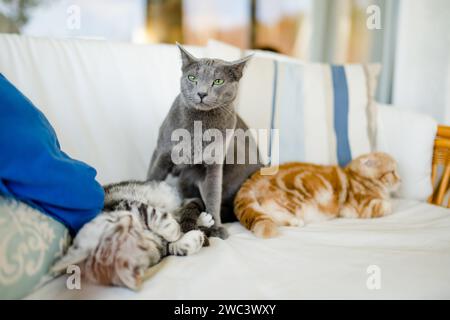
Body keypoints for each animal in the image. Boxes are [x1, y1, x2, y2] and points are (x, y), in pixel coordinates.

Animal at [51, 180, 214, 290]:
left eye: (114, 223)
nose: (129, 220)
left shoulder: (128, 205)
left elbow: (152, 214)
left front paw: (172, 229)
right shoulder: (159, 249)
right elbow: (172, 246)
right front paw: (190, 238)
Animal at [146, 43, 262, 239]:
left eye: (218, 81)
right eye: (192, 78)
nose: (201, 93)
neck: (199, 125)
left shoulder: (212, 165)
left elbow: (213, 194)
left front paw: (215, 226)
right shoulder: (162, 153)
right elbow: (152, 178)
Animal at [234, 152, 400, 238]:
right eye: (392, 172)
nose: (401, 179)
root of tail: (254, 177)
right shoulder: (361, 206)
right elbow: (386, 206)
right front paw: (389, 203)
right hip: (294, 196)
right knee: (270, 208)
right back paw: (295, 220)